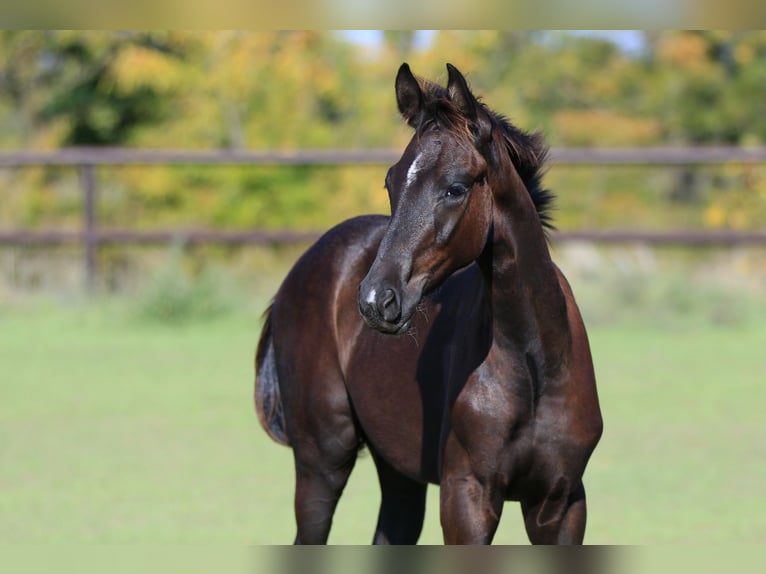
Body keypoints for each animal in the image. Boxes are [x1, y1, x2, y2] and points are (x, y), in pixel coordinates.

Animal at [258, 63, 608, 544]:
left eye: (455, 188)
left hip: (397, 468)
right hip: (322, 460)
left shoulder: (562, 503)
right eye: (390, 181)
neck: (535, 366)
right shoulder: (466, 498)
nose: (376, 300)